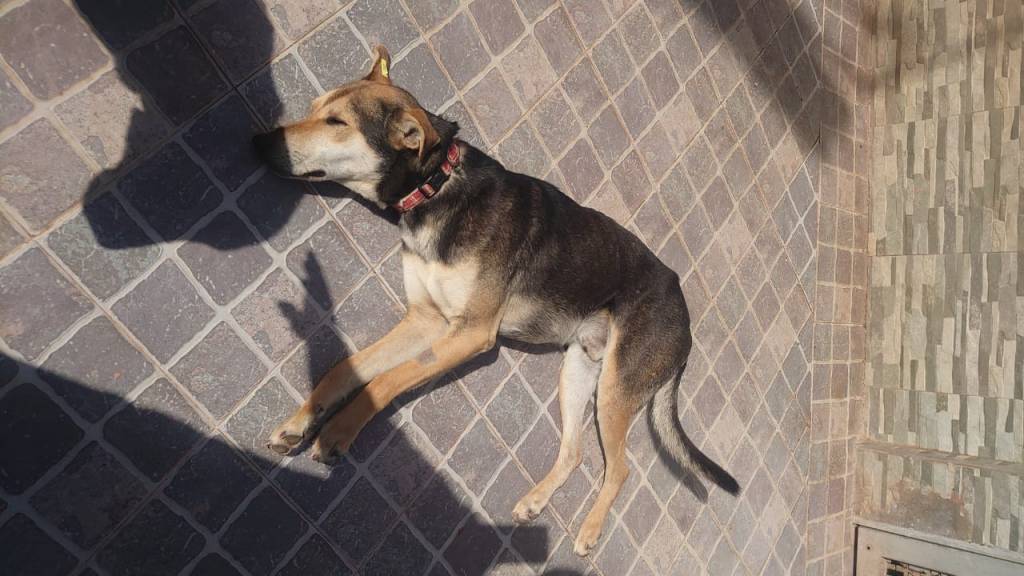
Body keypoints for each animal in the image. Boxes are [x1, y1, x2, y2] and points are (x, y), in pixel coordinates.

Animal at [253, 46, 739, 556]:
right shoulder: (424, 320)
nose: (258, 141)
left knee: (621, 468)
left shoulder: (470, 334)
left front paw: (339, 431)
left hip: (617, 386)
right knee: (575, 451)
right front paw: (301, 421)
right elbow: (343, 368)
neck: (439, 187)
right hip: (579, 369)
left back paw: (589, 531)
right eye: (313, 109)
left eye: (336, 122)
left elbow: (386, 380)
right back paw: (536, 502)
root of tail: (685, 317)